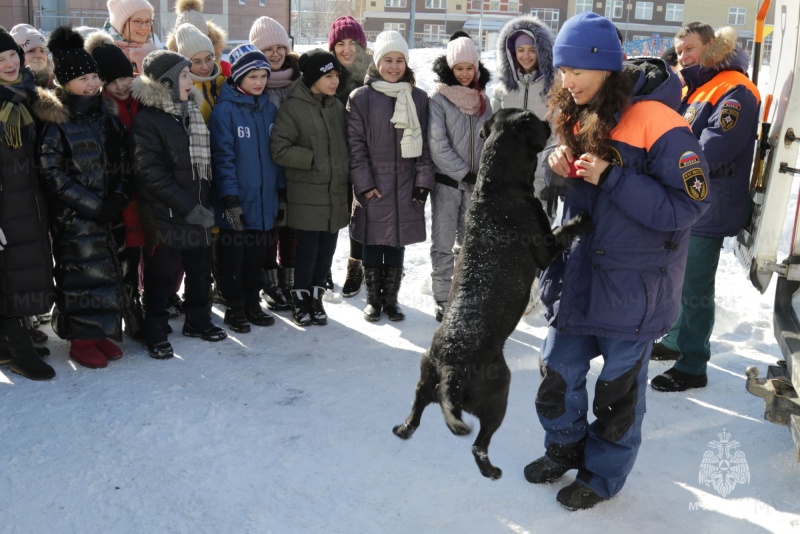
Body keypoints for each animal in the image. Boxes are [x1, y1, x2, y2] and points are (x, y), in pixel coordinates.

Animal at [390, 109, 592, 482]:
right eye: (534, 120)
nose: (549, 120)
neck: (496, 186)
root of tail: (450, 366)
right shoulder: (545, 248)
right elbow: (563, 230)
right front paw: (582, 221)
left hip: (424, 380)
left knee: (414, 418)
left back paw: (403, 428)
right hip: (499, 394)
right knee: (478, 444)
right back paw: (491, 469)